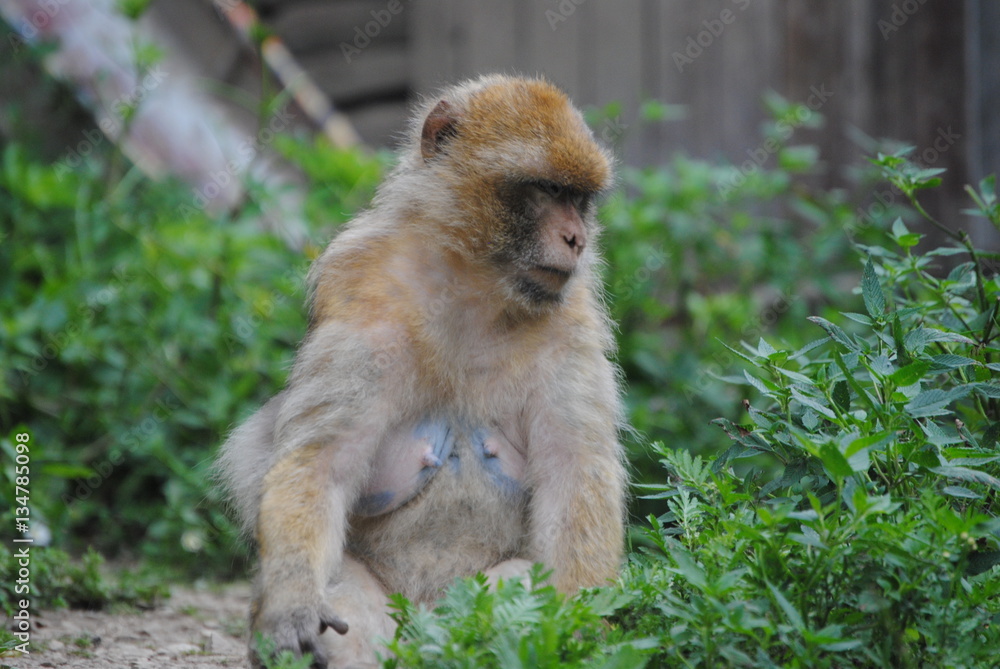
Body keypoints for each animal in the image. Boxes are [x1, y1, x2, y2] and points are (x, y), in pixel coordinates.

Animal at [216, 74, 627, 668]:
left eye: (579, 199)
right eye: (547, 190)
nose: (577, 238)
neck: (474, 288)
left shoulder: (571, 330)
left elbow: (575, 479)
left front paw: (585, 634)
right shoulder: (365, 303)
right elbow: (319, 463)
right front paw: (291, 606)